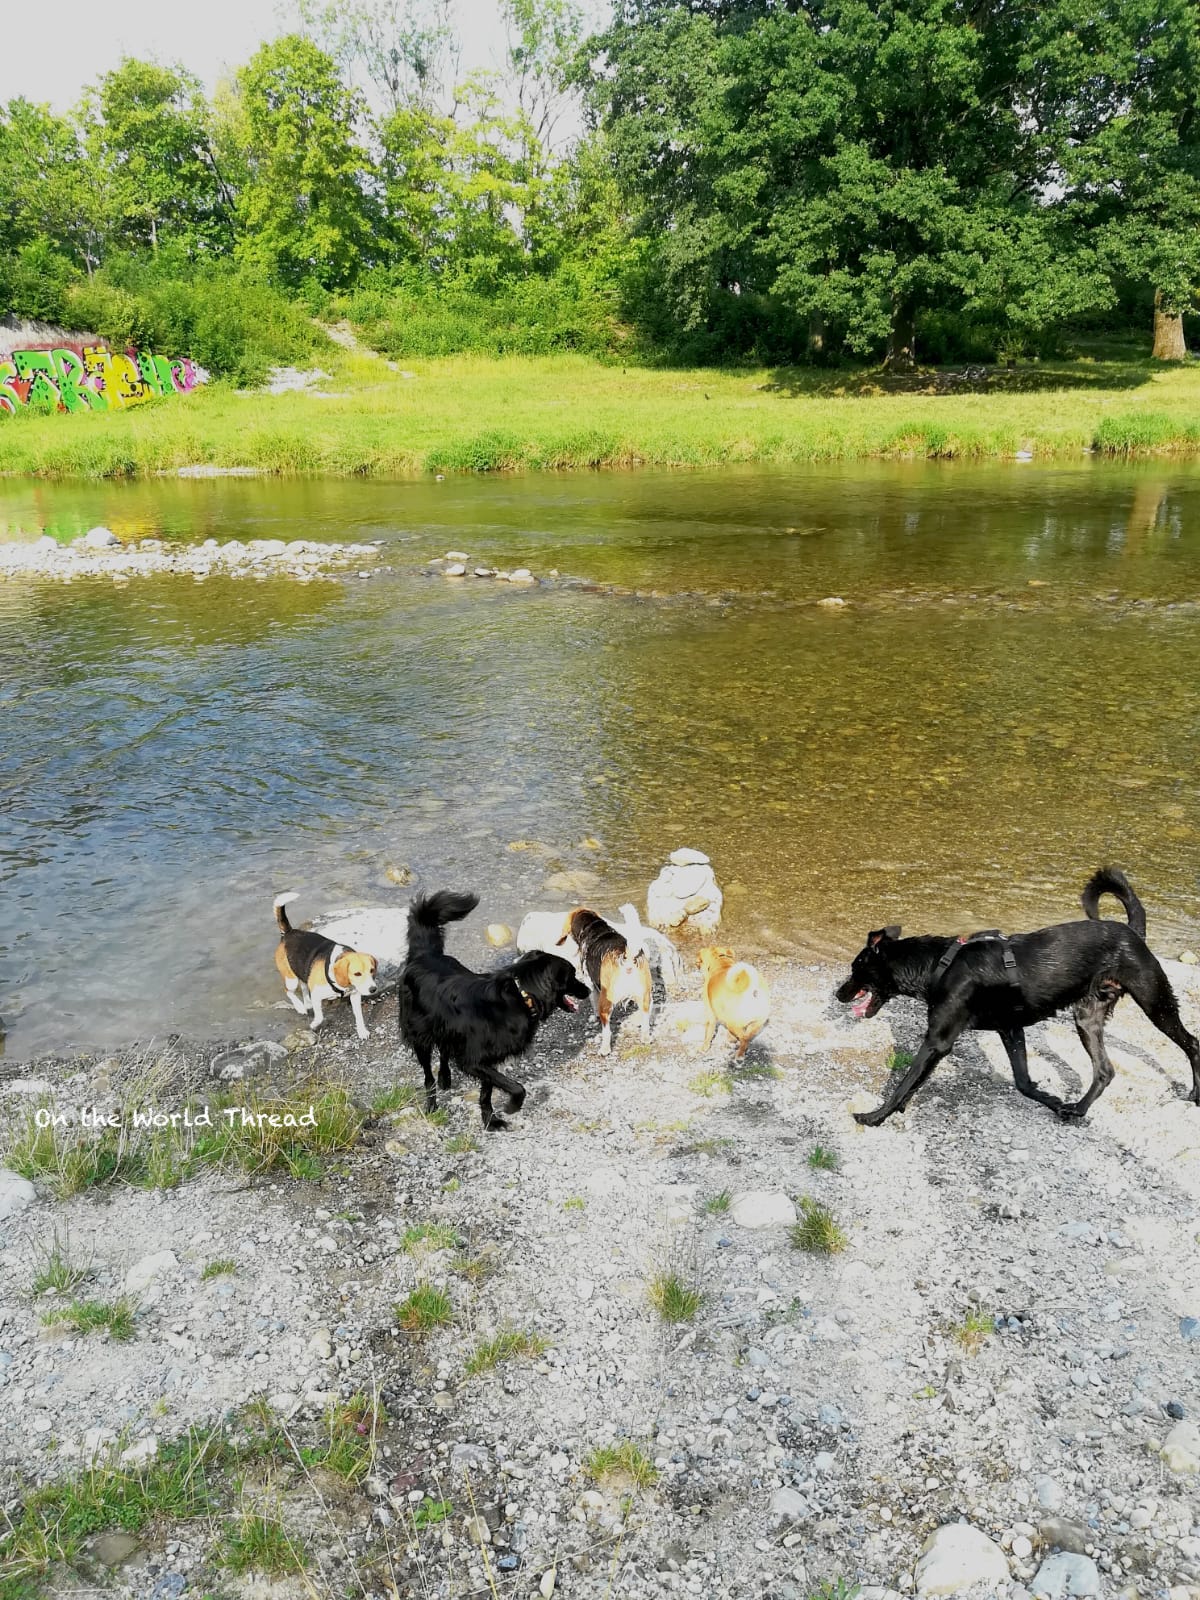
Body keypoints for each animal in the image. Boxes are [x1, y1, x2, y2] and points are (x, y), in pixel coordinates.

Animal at [276, 889, 380, 1036]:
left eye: (371, 970)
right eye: (357, 974)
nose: (373, 989)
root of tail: (289, 932)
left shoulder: (355, 995)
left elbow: (359, 1015)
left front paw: (362, 1031)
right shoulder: (316, 995)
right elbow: (320, 1016)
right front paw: (314, 1024)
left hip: (300, 971)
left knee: (303, 986)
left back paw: (306, 1003)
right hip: (291, 979)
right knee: (288, 991)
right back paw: (300, 1007)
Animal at [396, 889, 588, 1139]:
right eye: (573, 975)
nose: (589, 989)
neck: (520, 996)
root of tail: (423, 956)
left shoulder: (487, 1059)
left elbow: (486, 1093)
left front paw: (490, 1121)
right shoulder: (474, 1060)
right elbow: (516, 1087)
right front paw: (511, 1107)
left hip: (446, 1029)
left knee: (445, 1051)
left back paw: (445, 1077)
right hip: (419, 1034)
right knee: (428, 1075)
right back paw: (431, 1104)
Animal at [838, 864, 1200, 1126]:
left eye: (855, 968)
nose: (838, 993)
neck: (940, 965)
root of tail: (1133, 933)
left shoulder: (938, 1041)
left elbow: (905, 1082)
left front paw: (875, 1116)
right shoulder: (1010, 1029)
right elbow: (1023, 1081)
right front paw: (1053, 1100)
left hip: (1154, 1000)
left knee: (1191, 1043)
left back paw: (1195, 1093)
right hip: (1087, 1017)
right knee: (1104, 1071)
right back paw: (1077, 1110)